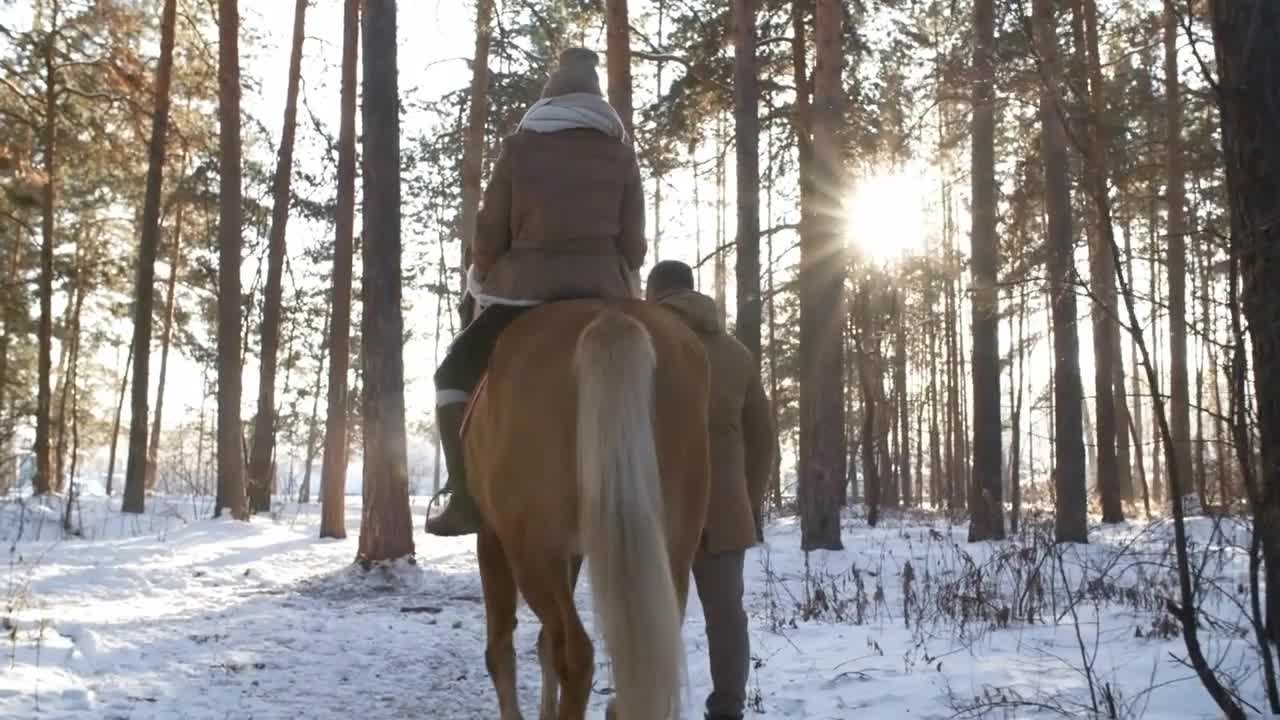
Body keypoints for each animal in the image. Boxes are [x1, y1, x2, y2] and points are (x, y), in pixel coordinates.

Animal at [465, 297, 716, 717]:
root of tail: (610, 316)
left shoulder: (492, 538)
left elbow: (500, 650)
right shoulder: (574, 552)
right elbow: (540, 646)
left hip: (532, 552)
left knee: (574, 654)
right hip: (674, 550)